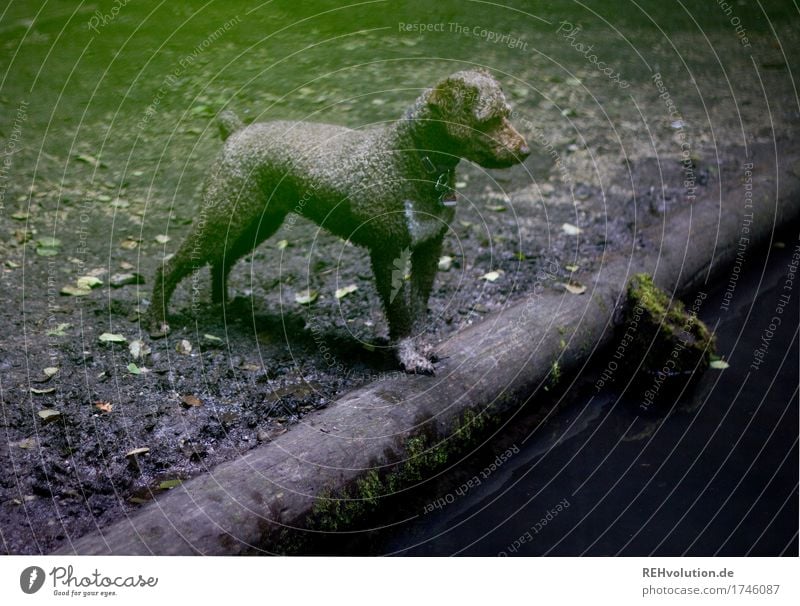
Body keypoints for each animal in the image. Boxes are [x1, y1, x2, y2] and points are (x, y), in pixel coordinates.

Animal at [152, 70, 532, 376]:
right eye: (487, 119)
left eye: (507, 114)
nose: (525, 150)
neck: (410, 160)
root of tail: (234, 132)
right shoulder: (388, 253)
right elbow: (400, 314)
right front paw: (409, 359)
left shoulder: (429, 247)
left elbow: (419, 308)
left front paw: (422, 349)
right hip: (223, 218)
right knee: (170, 264)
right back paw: (158, 321)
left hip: (256, 223)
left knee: (222, 260)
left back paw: (224, 305)